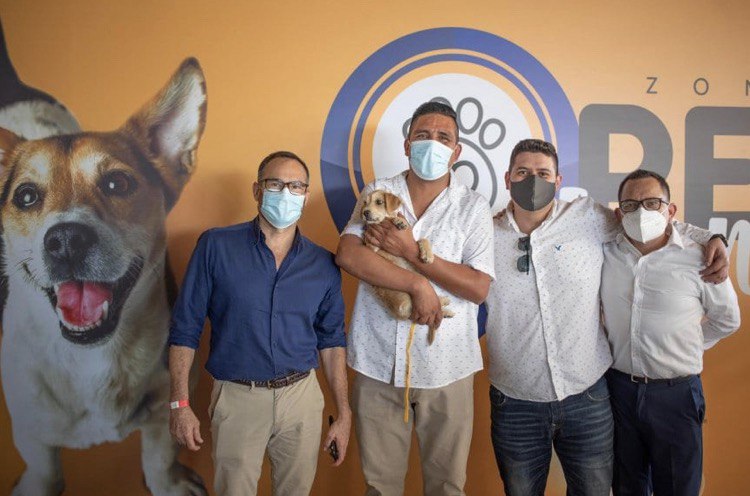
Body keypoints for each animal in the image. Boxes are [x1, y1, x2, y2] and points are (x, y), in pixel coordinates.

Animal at [0, 52, 208, 496]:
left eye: (117, 183)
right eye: (25, 196)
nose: (65, 240)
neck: (92, 356)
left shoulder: (165, 403)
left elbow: (160, 457)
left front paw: (168, 482)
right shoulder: (32, 432)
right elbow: (44, 472)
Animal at [360, 189, 454, 343]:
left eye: (379, 202)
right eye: (364, 203)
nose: (365, 213)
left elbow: (422, 239)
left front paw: (428, 255)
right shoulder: (371, 245)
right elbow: (385, 221)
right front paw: (398, 220)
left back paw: (446, 308)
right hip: (408, 305)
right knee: (431, 308)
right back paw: (444, 305)